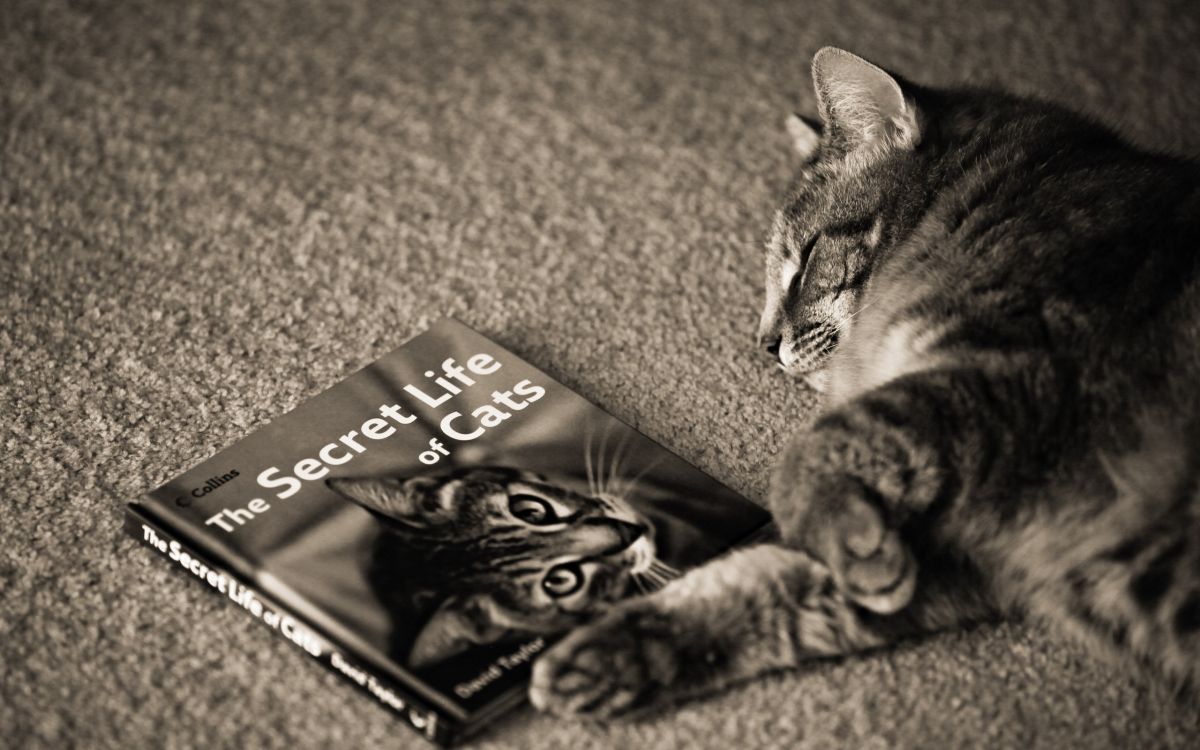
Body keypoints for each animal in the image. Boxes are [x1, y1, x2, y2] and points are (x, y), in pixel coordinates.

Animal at [530, 48, 1200, 720]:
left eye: (803, 262)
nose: (762, 344)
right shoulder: (961, 547)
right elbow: (763, 588)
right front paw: (611, 654)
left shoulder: (1023, 368)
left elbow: (813, 457)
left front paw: (856, 551)